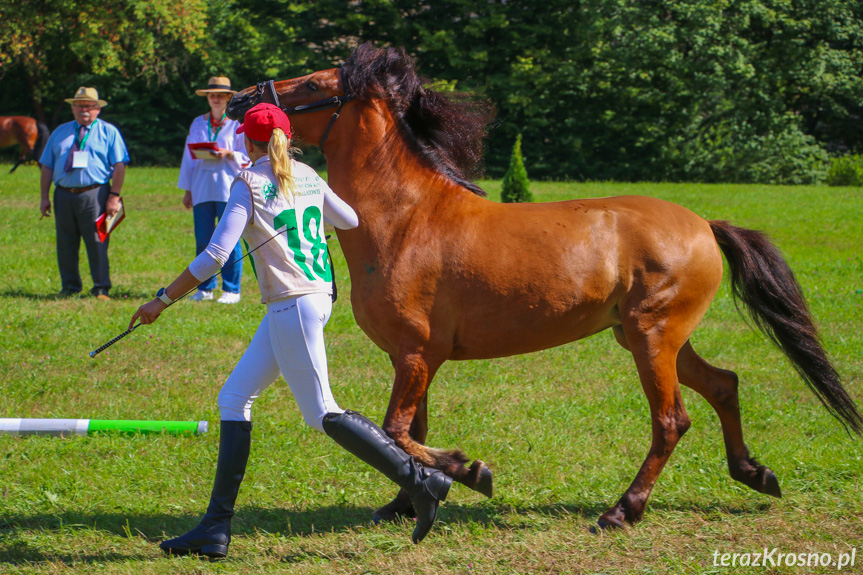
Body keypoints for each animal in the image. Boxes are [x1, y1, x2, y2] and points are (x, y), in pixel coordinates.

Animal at [226, 44, 860, 532]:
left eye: (313, 83)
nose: (238, 100)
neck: (406, 220)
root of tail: (704, 224)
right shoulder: (415, 358)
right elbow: (408, 431)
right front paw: (405, 503)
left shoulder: (415, 354)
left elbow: (395, 430)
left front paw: (471, 472)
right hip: (652, 337)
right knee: (725, 385)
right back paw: (756, 474)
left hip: (653, 339)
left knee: (671, 421)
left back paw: (622, 511)